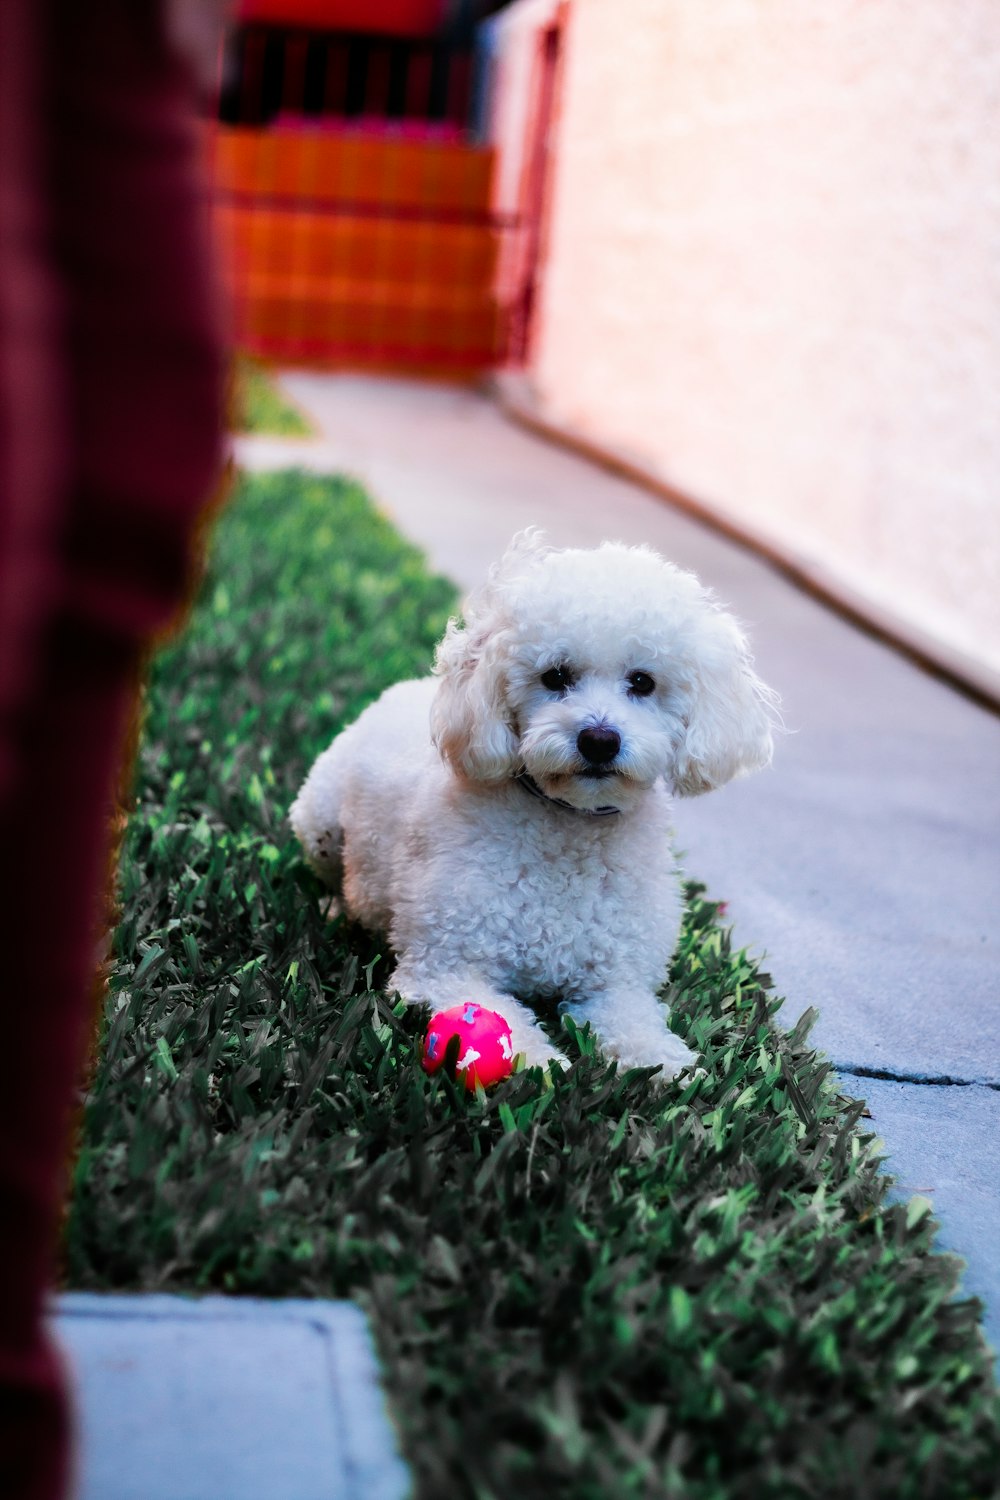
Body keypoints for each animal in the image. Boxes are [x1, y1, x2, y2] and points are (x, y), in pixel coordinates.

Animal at [289, 531, 773, 1080]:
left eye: (643, 682)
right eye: (555, 676)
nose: (599, 740)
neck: (570, 826)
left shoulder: (618, 982)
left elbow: (636, 1024)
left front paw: (669, 1066)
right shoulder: (445, 966)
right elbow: (509, 1026)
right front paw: (541, 1065)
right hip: (318, 820)